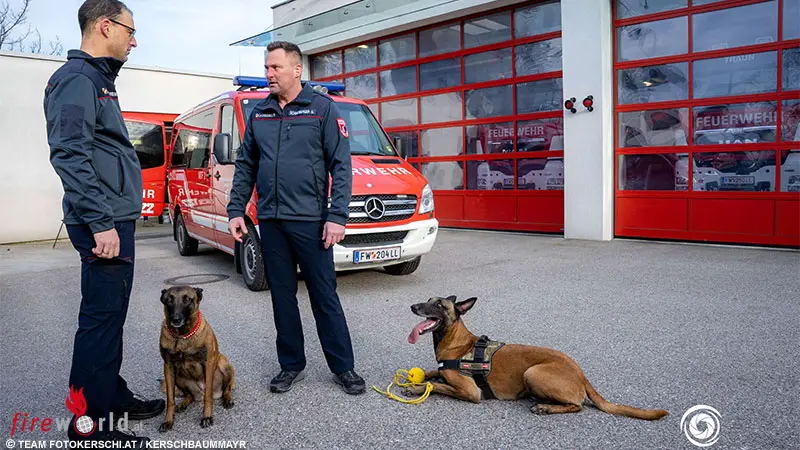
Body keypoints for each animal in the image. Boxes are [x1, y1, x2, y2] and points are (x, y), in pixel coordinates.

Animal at [158, 286, 234, 432]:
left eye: (187, 299)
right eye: (169, 300)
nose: (176, 319)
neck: (182, 336)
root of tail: (200, 392)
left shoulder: (208, 363)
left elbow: (208, 397)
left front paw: (207, 417)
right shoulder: (168, 366)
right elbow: (170, 399)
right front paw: (168, 420)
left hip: (224, 364)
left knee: (225, 390)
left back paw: (227, 399)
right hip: (179, 376)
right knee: (190, 396)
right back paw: (183, 404)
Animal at [407, 295, 668, 420]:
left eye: (439, 305)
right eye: (428, 300)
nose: (412, 306)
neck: (456, 340)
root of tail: (581, 374)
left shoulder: (471, 392)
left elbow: (437, 385)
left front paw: (417, 388)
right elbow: (434, 372)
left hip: (532, 372)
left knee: (577, 406)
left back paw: (545, 407)